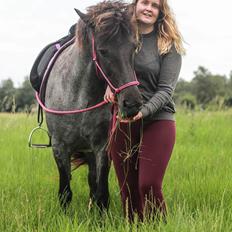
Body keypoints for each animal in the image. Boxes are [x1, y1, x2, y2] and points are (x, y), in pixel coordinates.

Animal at [43, 0, 141, 210]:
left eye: (134, 48)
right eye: (103, 51)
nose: (132, 103)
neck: (78, 98)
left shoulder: (102, 148)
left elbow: (101, 193)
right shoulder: (59, 147)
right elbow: (65, 192)